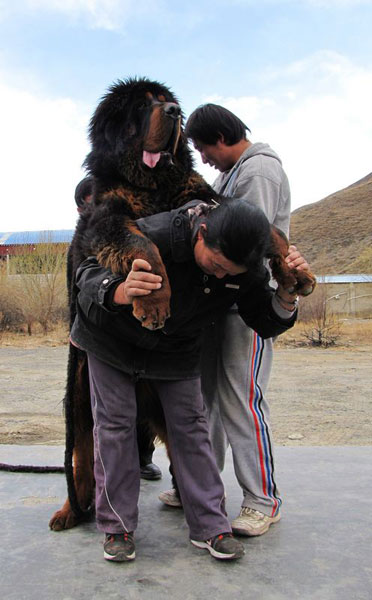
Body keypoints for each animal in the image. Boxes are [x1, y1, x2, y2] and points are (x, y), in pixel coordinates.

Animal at [48, 77, 316, 532]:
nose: (173, 112)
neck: (153, 182)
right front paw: (154, 301)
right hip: (81, 400)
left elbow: (268, 230)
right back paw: (71, 510)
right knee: (82, 458)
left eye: (164, 101)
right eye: (142, 106)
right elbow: (141, 244)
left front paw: (297, 273)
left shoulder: (208, 200)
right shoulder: (107, 217)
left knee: (182, 451)